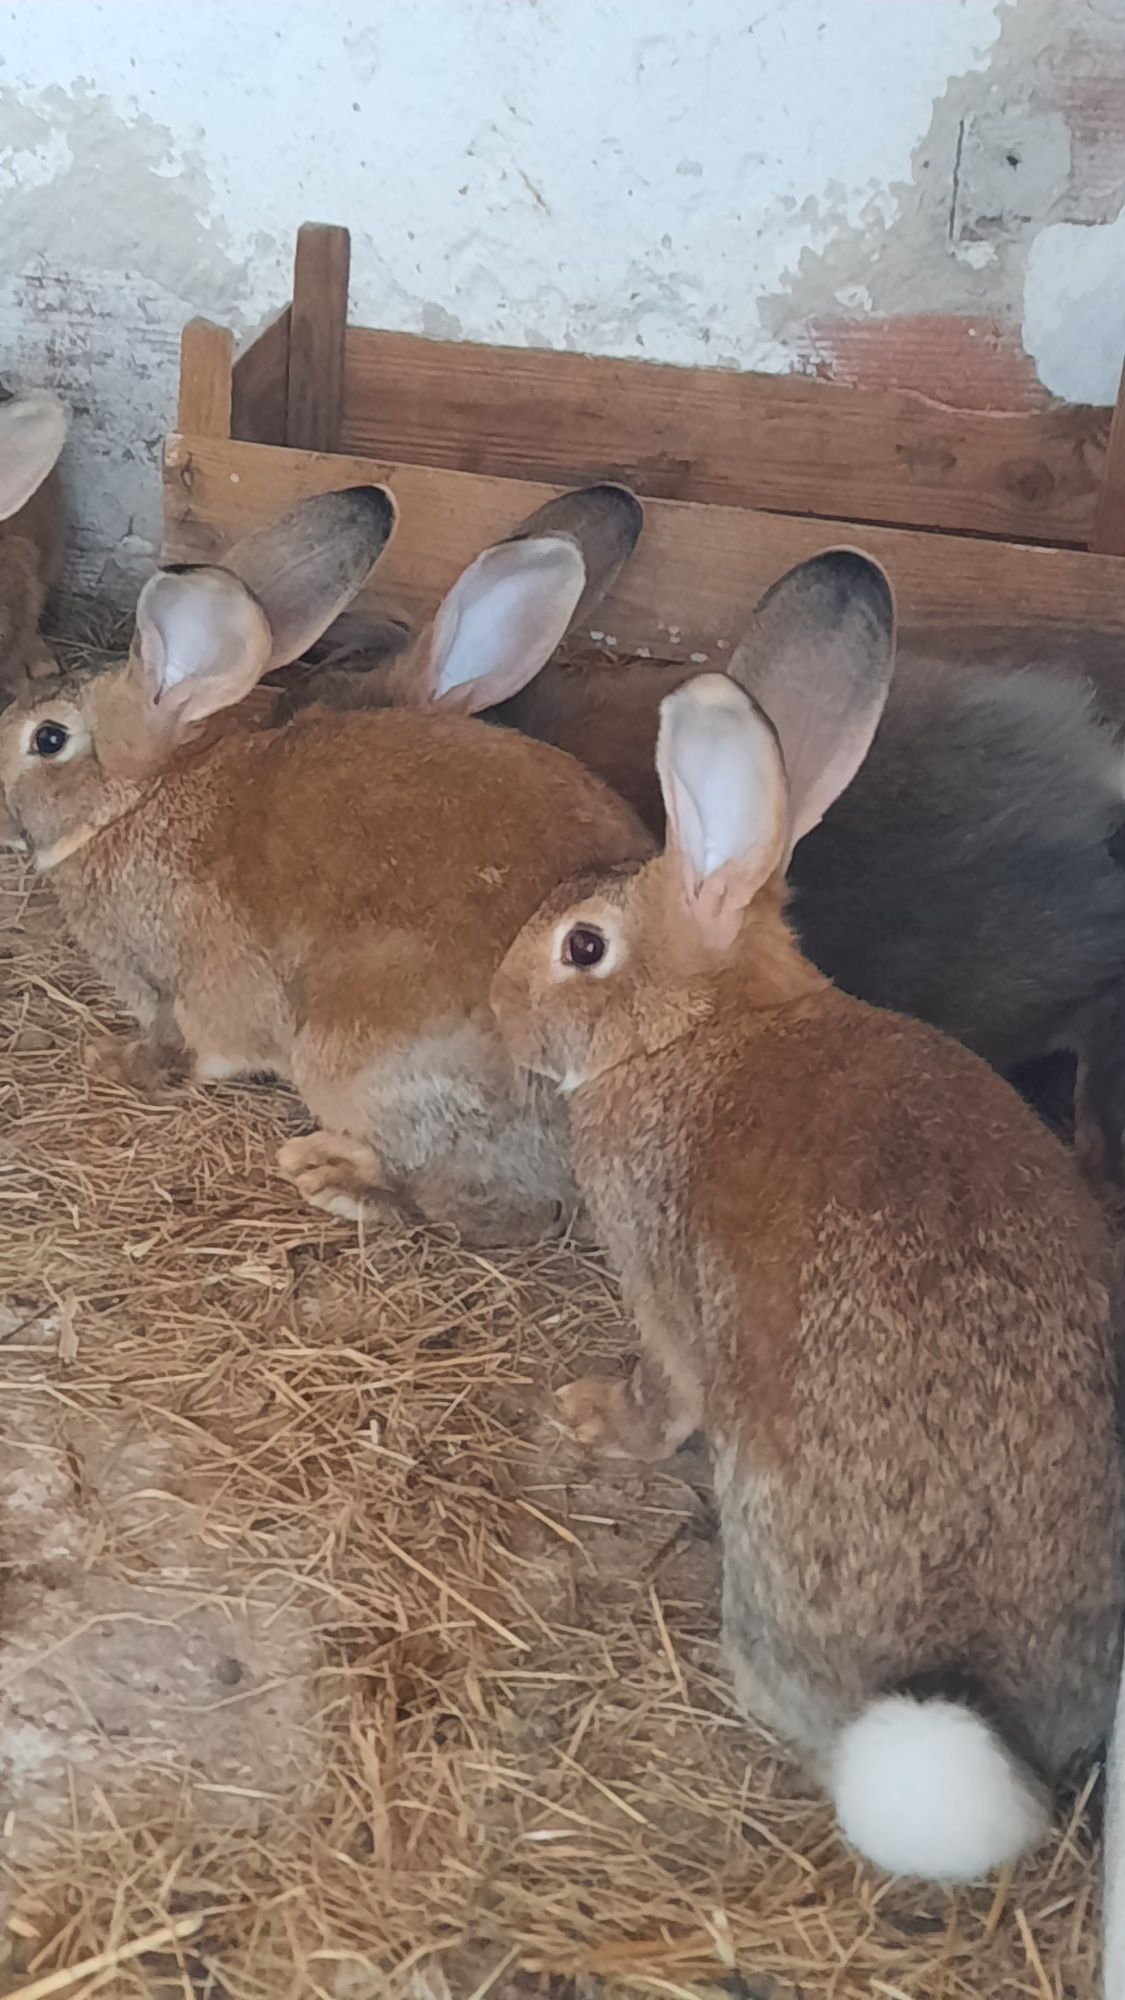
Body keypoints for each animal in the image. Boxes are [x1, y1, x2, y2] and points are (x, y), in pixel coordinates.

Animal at [0, 480, 648, 1248]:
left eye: (48, 740)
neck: (137, 799)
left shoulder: (185, 986)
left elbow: (187, 1044)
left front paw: (117, 1062)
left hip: (348, 1057)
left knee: (484, 1210)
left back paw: (333, 1177)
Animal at [488, 552, 1120, 1888]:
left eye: (583, 947)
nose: (498, 1004)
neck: (703, 1027)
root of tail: (969, 1686)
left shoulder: (665, 1290)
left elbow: (666, 1388)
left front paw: (598, 1417)